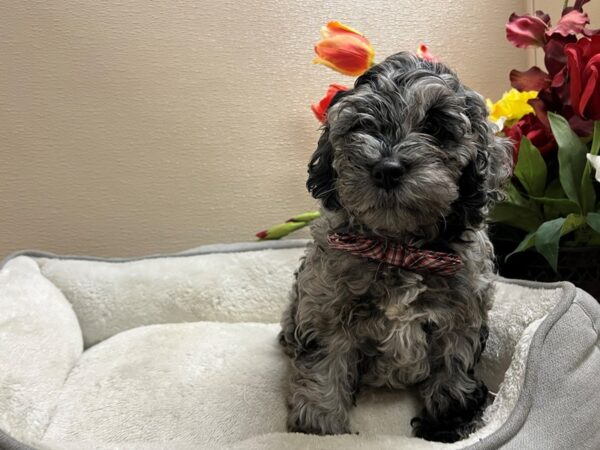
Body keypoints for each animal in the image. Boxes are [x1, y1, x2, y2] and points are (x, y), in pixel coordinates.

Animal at [278, 51, 510, 442]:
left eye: (435, 127)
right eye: (361, 125)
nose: (387, 168)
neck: (400, 248)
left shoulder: (461, 317)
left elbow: (452, 373)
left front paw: (449, 426)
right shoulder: (325, 311)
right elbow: (323, 372)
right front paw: (319, 430)